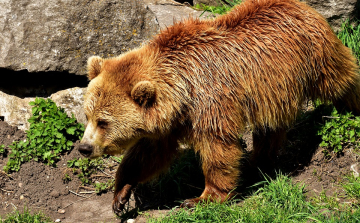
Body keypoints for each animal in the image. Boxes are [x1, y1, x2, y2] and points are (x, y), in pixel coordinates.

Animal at [79, 0, 360, 214]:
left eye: (104, 122)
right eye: (88, 115)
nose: (83, 148)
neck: (182, 89)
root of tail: (302, 5)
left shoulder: (210, 100)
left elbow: (218, 147)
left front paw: (201, 198)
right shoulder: (170, 122)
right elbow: (149, 154)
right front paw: (121, 194)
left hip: (316, 55)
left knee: (342, 80)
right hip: (271, 91)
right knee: (270, 126)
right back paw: (257, 163)